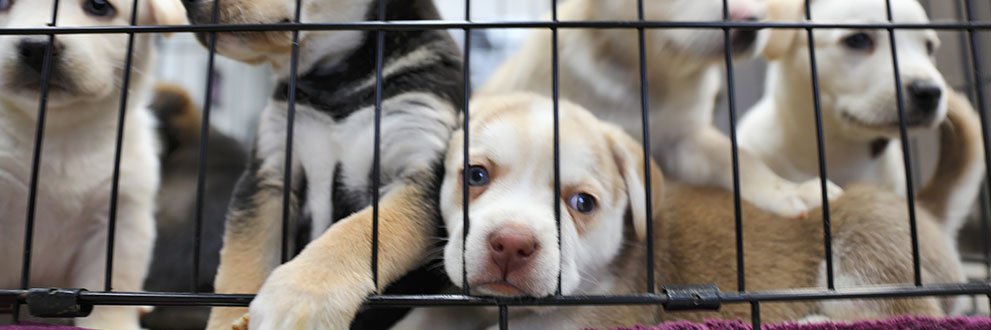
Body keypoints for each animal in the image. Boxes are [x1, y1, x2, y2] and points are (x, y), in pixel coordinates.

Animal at [0, 0, 186, 328]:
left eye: (99, 7)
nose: (37, 47)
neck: (58, 134)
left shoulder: (122, 220)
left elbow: (113, 285)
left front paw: (113, 324)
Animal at [181, 0, 464, 330]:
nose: (186, 4)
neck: (334, 81)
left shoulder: (420, 170)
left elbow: (358, 229)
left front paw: (299, 293)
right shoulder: (267, 176)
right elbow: (242, 262)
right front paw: (227, 321)